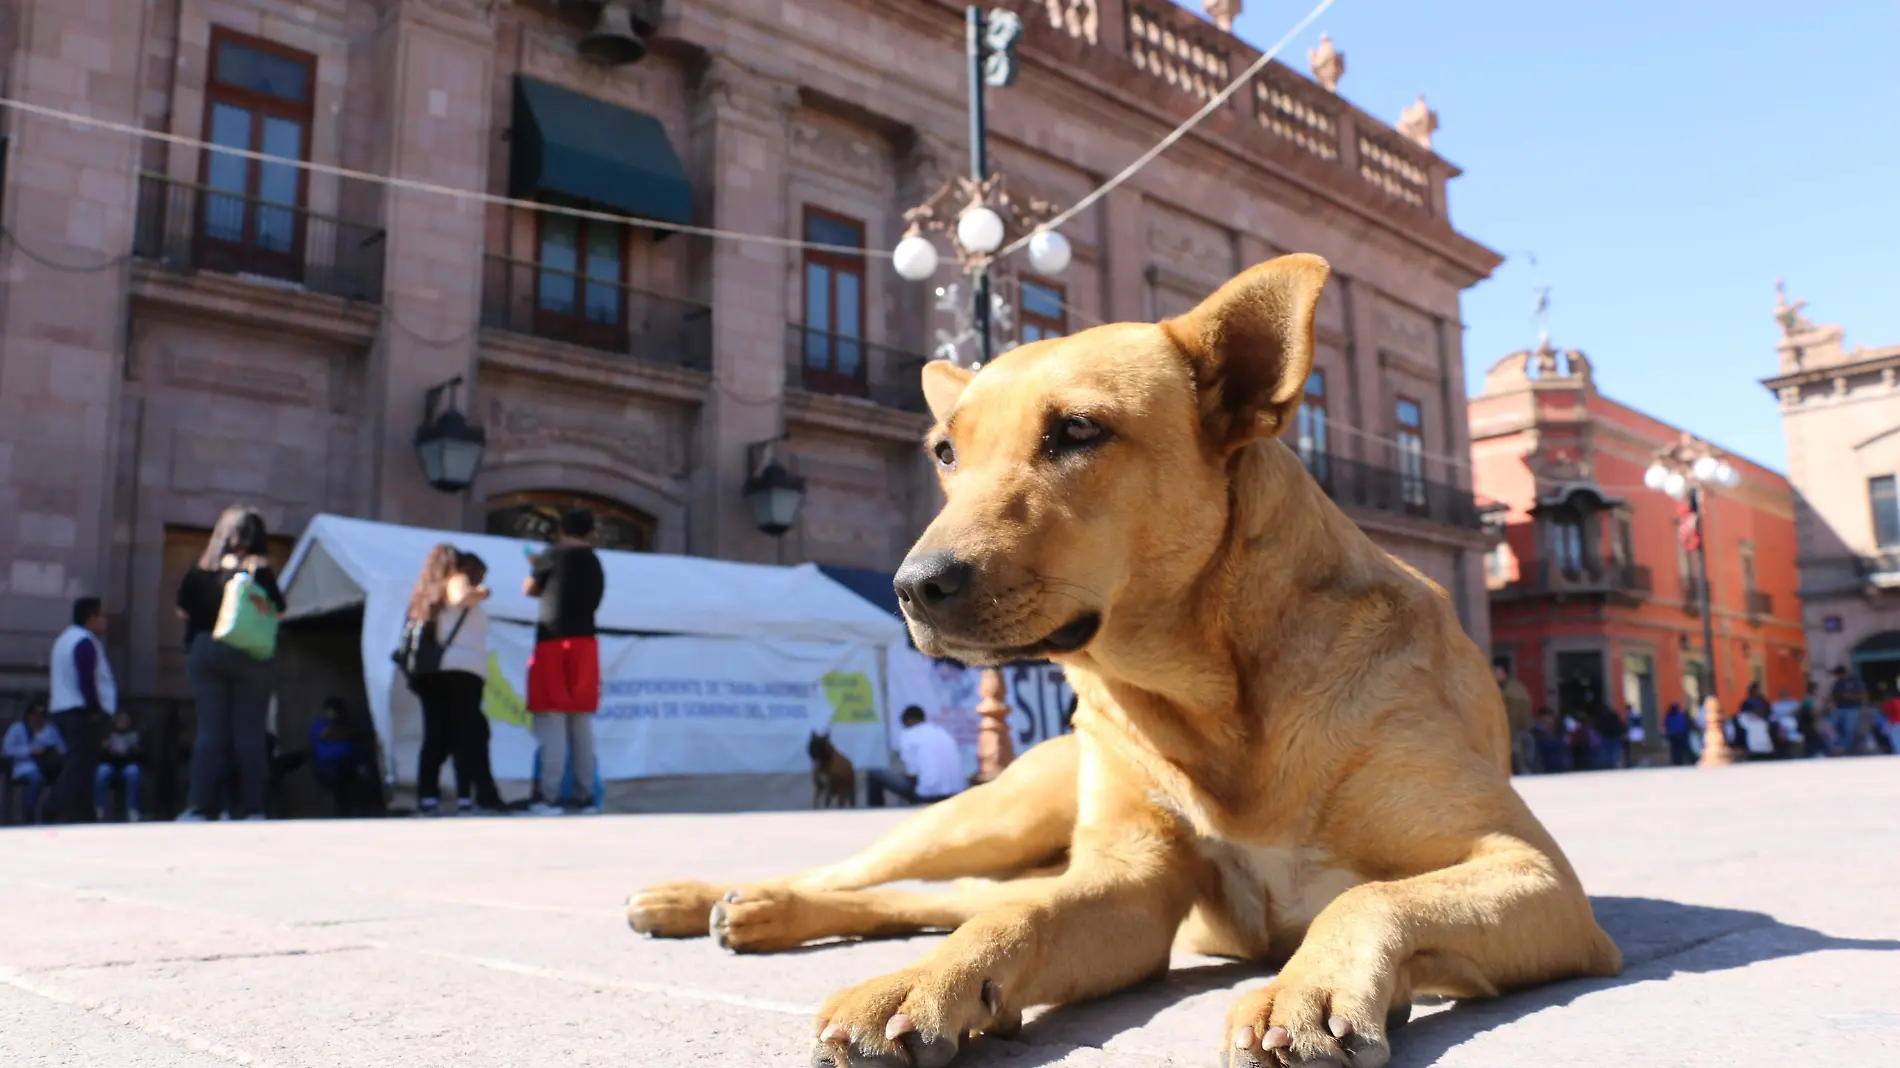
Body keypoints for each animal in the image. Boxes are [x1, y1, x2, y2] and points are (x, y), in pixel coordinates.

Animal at [627, 256, 1618, 1064]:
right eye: (945, 451)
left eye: (1076, 431)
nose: (914, 587)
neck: (1211, 696)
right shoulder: (1130, 885)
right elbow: (1017, 916)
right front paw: (924, 985)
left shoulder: (1538, 876)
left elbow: (1374, 896)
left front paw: (1308, 987)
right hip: (988, 815)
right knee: (887, 878)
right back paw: (720, 898)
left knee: (938, 896)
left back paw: (749, 911)